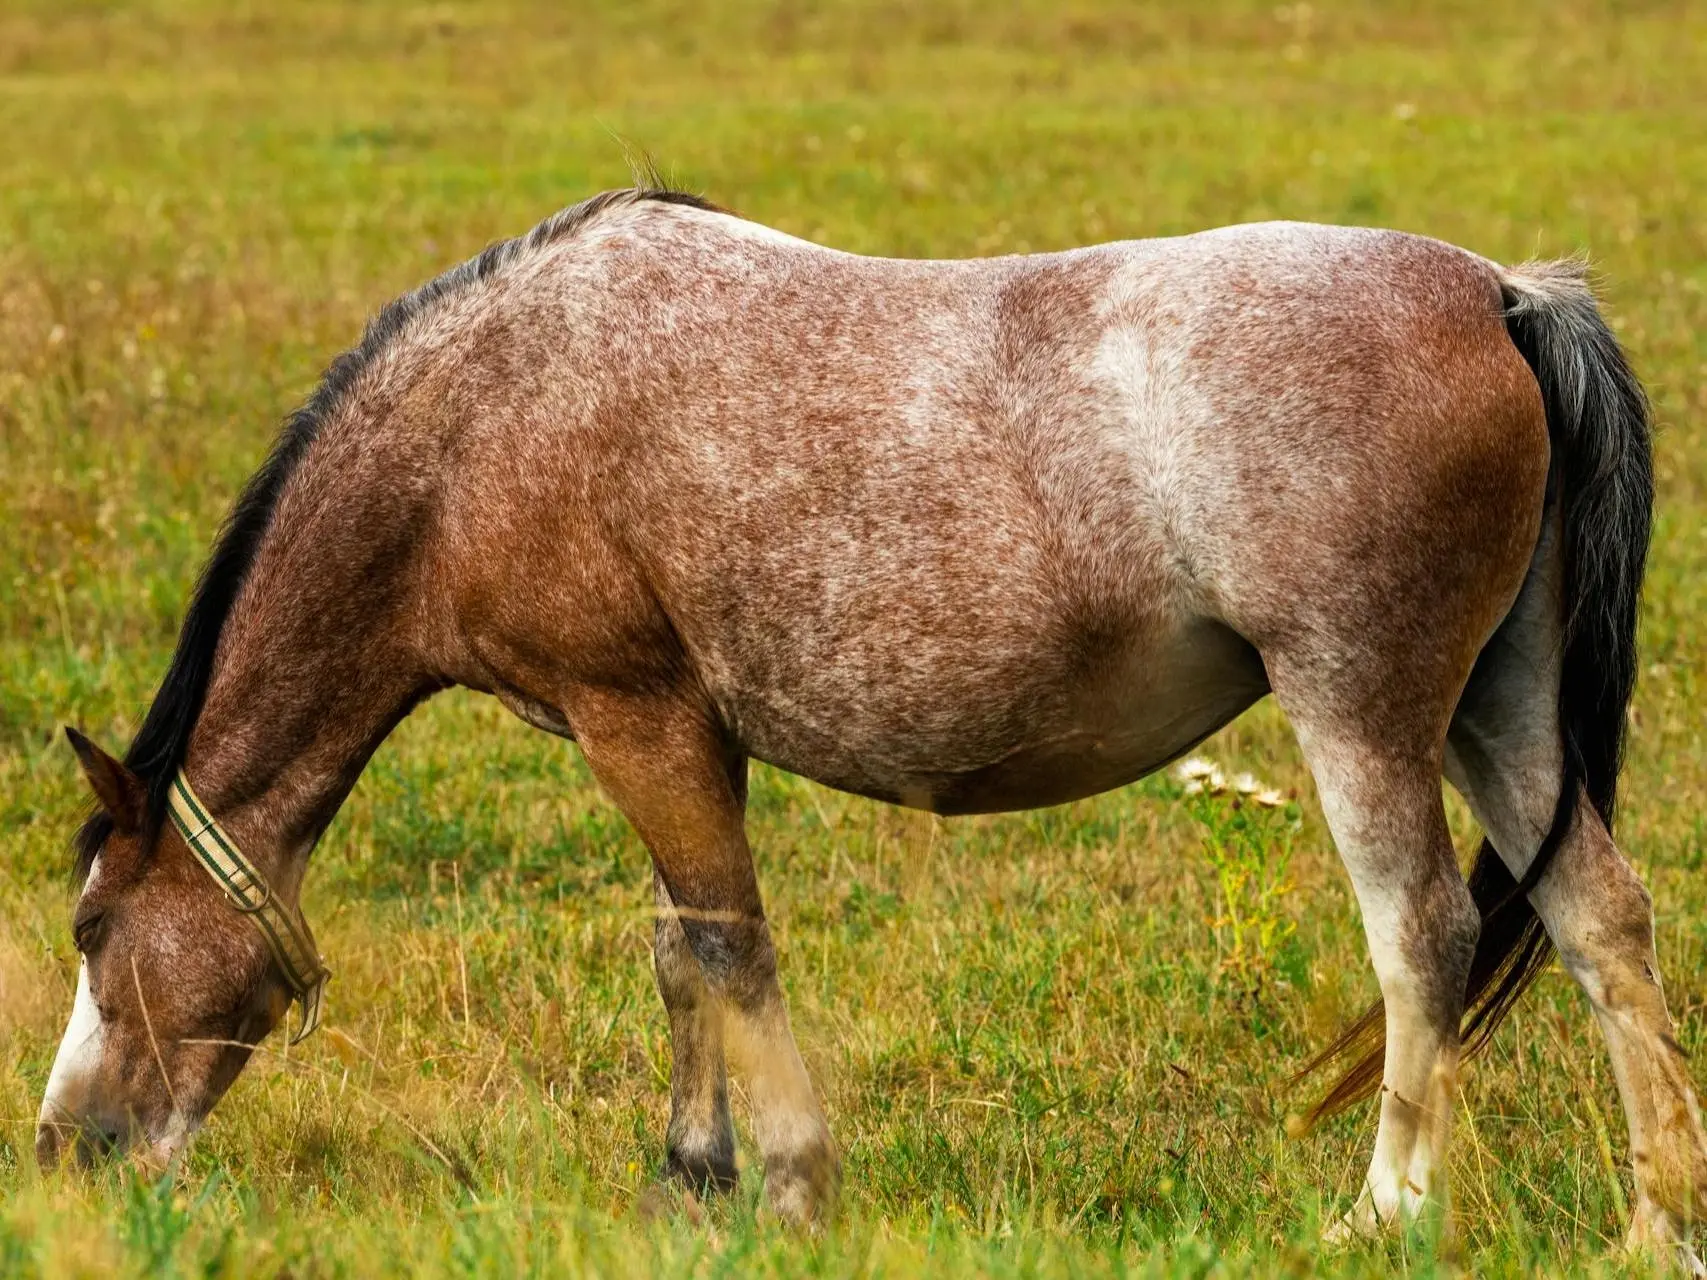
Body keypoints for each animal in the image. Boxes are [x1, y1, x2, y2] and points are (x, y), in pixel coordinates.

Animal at [33, 180, 1700, 1262]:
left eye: (94, 930)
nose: (66, 1152)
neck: (488, 421)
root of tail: (1498, 292)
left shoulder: (639, 719)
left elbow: (724, 946)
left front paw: (781, 1184)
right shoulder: (673, 738)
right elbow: (679, 948)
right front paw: (689, 1177)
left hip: (1358, 702)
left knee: (1419, 937)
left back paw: (1382, 1212)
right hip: (1496, 707)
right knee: (1596, 919)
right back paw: (1650, 1220)